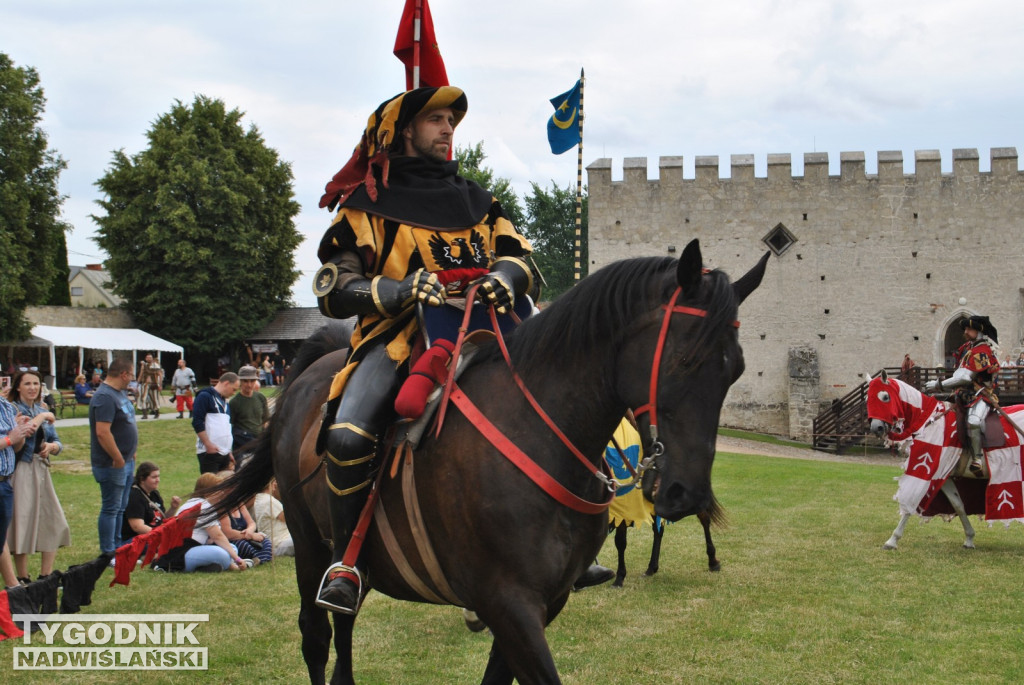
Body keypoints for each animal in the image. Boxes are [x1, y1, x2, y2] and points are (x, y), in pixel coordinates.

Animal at [220, 240, 765, 683]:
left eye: (736, 370)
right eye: (684, 360)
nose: (685, 493)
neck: (537, 427)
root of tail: (316, 369)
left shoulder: (541, 604)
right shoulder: (508, 604)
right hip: (312, 547)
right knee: (317, 636)